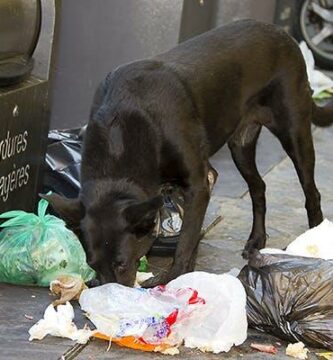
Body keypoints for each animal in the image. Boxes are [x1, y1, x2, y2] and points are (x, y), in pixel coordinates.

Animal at [44, 20, 332, 286]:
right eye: (92, 264)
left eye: (122, 264)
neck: (122, 128)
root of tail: (282, 33)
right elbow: (191, 235)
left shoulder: (198, 183)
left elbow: (187, 239)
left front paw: (174, 277)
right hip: (241, 146)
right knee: (258, 186)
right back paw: (257, 240)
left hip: (294, 133)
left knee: (311, 191)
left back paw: (315, 243)